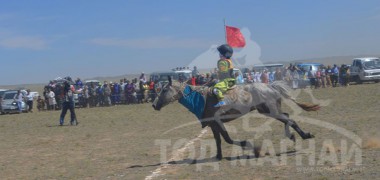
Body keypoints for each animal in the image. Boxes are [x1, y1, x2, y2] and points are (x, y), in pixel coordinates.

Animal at [153, 78, 320, 160]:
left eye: (164, 90)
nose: (154, 105)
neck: (202, 99)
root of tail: (270, 86)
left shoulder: (218, 121)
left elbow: (227, 138)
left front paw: (252, 147)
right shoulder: (213, 125)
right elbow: (218, 140)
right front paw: (218, 156)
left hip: (271, 111)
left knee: (289, 119)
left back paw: (302, 135)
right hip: (268, 110)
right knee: (287, 117)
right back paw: (294, 135)